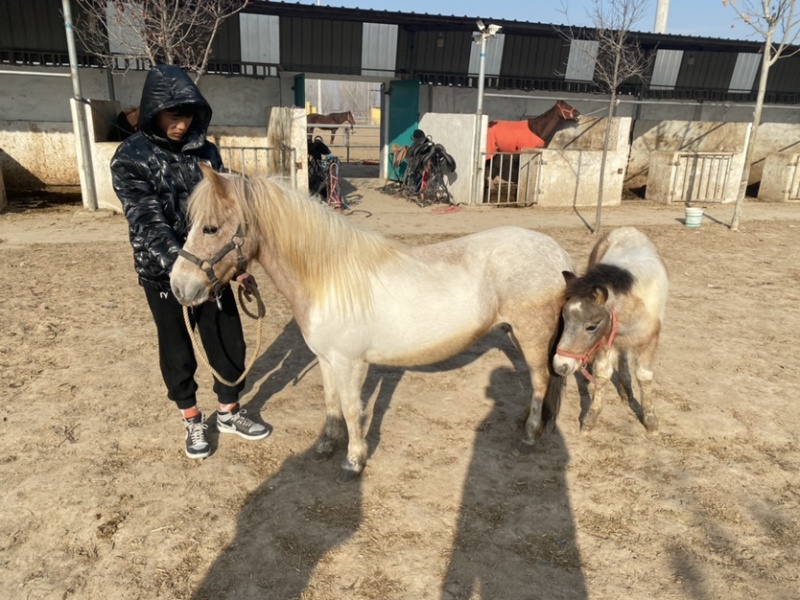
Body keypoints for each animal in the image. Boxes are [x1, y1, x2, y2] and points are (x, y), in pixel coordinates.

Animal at [170, 164, 575, 482]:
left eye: (210, 228)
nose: (178, 287)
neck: (328, 277)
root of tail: (557, 254)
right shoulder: (327, 359)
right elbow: (331, 402)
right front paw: (326, 444)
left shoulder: (350, 362)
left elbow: (353, 409)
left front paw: (353, 461)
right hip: (518, 336)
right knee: (537, 381)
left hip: (532, 336)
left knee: (541, 380)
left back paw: (529, 435)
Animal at [552, 227, 669, 433]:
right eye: (564, 319)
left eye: (591, 326)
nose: (560, 365)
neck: (634, 305)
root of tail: (627, 229)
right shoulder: (607, 341)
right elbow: (603, 374)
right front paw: (591, 419)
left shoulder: (650, 341)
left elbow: (644, 376)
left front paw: (651, 421)